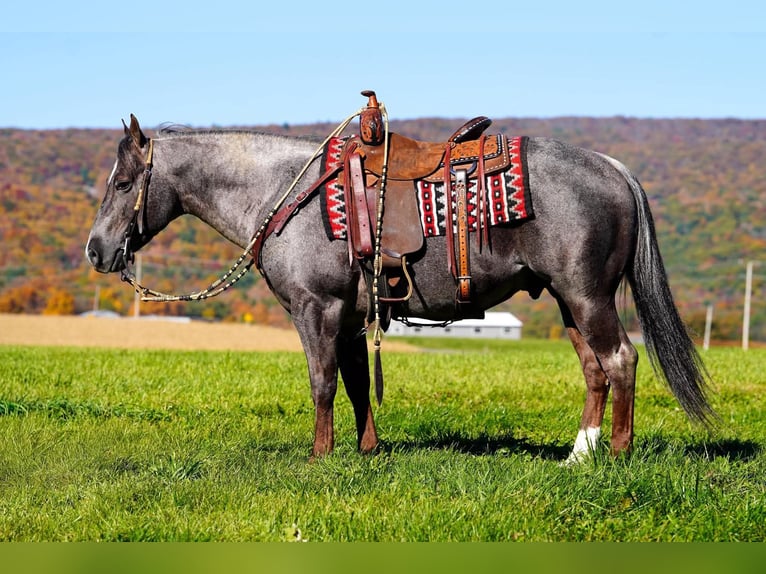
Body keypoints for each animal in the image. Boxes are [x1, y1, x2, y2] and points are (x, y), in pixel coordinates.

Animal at [85, 112, 714, 463]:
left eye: (123, 183)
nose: (96, 250)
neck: (288, 194)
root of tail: (613, 167)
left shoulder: (316, 309)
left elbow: (322, 382)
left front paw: (319, 456)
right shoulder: (348, 315)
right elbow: (357, 383)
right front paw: (366, 450)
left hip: (588, 296)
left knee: (622, 359)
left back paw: (618, 454)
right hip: (567, 301)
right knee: (595, 369)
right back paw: (578, 456)